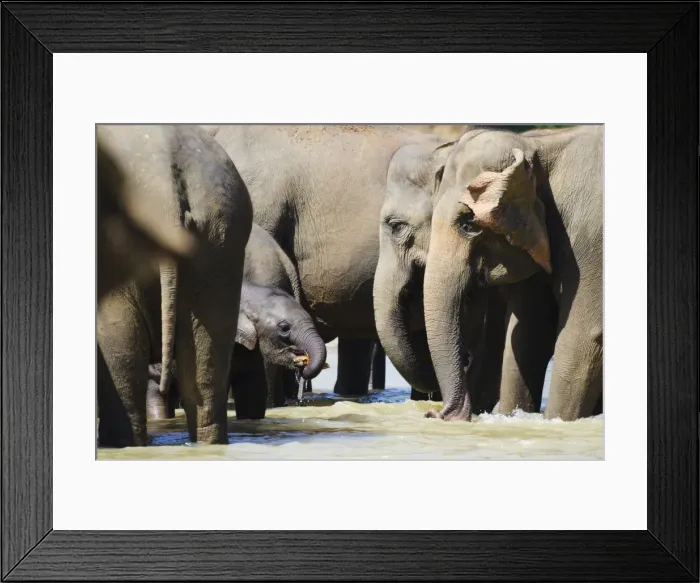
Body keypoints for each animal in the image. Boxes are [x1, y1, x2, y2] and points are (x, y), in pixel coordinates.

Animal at [423, 125, 603, 422]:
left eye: (468, 224)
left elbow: (581, 339)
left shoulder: (593, 238)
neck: (539, 146)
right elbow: (525, 335)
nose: (434, 414)